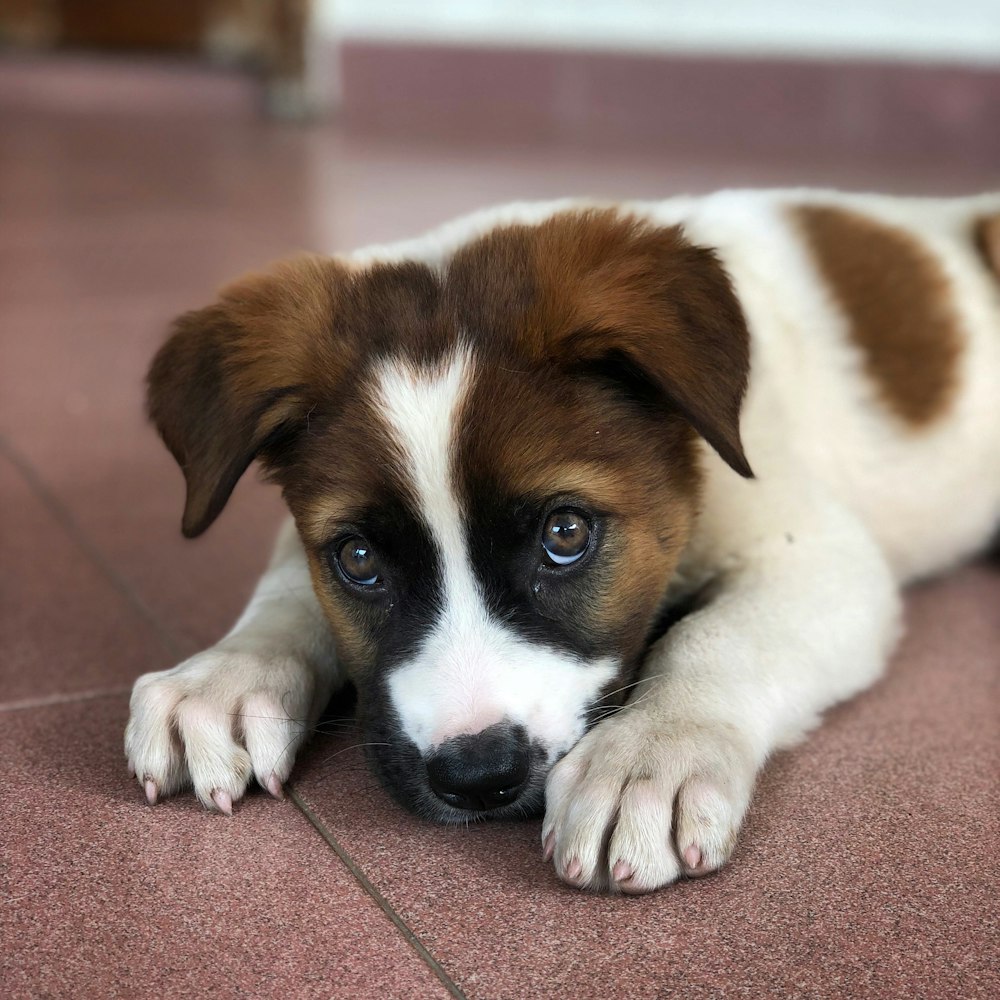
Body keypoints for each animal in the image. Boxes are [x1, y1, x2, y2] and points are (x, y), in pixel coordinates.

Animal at [125, 191, 1000, 896]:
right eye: (360, 561)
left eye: (566, 533)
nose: (476, 776)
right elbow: (287, 587)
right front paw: (227, 676)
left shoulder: (816, 553)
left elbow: (715, 637)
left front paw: (651, 755)